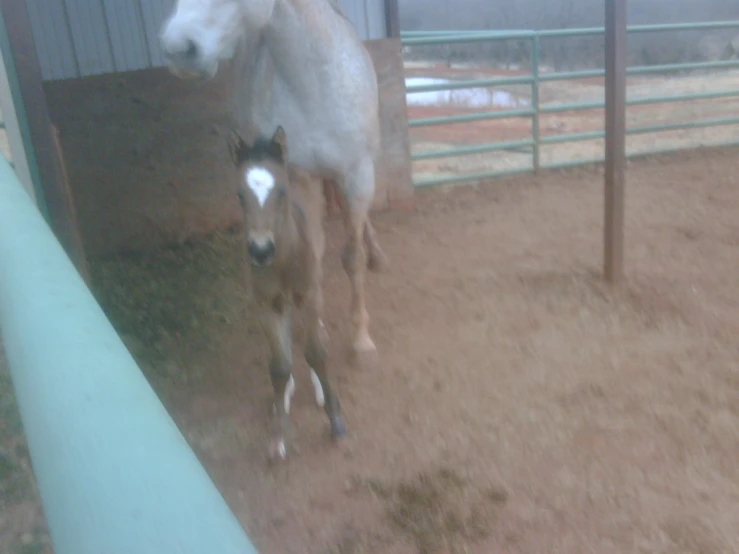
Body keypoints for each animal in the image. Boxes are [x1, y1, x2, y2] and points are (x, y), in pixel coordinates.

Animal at [160, 0, 390, 364]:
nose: (176, 49)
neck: (311, 83)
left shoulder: (357, 171)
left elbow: (353, 258)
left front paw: (361, 342)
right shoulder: (299, 176)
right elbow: (312, 252)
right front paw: (317, 327)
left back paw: (377, 256)